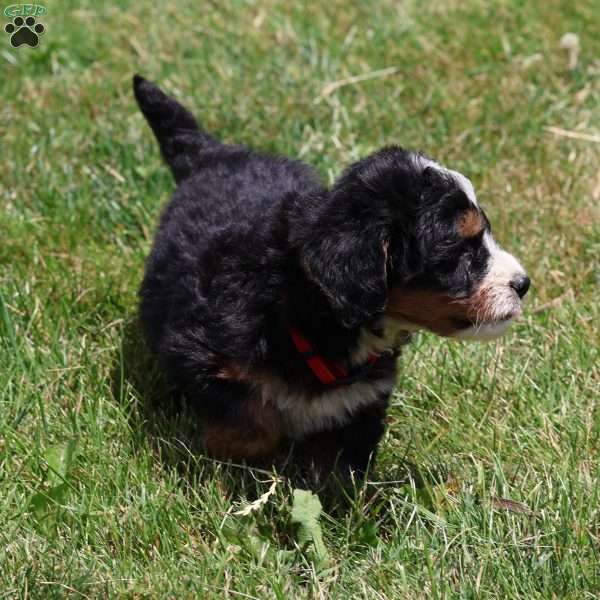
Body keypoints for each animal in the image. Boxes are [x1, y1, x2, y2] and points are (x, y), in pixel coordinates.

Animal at [132, 75, 528, 476]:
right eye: (462, 251)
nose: (523, 284)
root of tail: (214, 156)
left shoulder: (364, 396)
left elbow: (344, 456)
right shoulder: (199, 352)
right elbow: (251, 422)